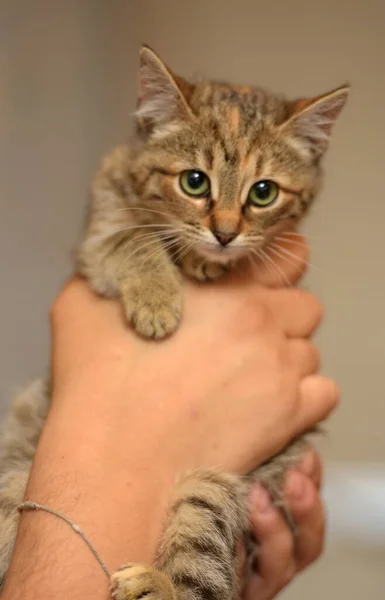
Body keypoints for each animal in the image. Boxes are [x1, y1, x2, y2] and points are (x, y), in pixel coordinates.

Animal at [0, 44, 348, 596]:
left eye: (264, 193)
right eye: (194, 181)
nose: (225, 234)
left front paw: (200, 264)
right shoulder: (99, 226)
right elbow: (131, 237)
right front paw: (158, 296)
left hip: (219, 486)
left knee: (204, 574)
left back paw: (153, 583)